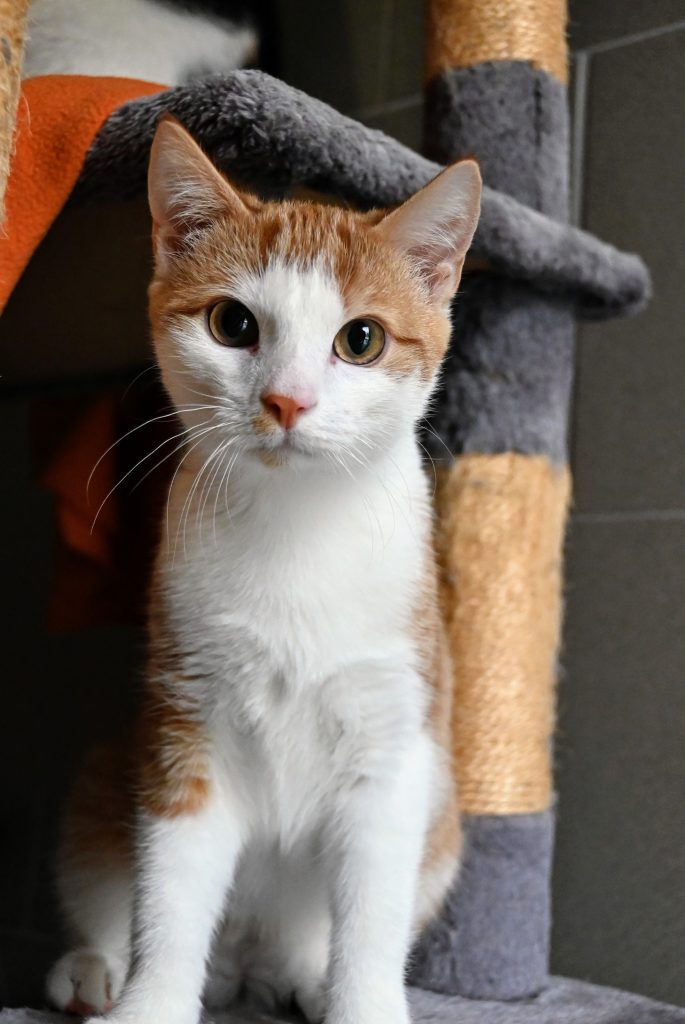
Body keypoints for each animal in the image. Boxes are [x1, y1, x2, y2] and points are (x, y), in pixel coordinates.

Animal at [45, 116, 481, 1024]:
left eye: (361, 339)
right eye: (232, 324)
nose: (287, 400)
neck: (295, 531)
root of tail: (250, 963)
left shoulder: (393, 740)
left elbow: (371, 909)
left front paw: (362, 1004)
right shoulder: (187, 725)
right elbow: (171, 890)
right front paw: (151, 1003)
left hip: (446, 818)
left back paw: (309, 975)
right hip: (110, 762)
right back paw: (95, 968)